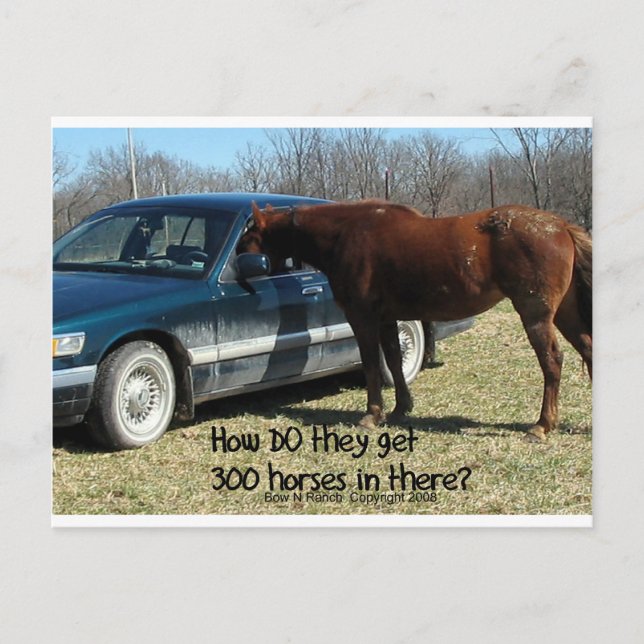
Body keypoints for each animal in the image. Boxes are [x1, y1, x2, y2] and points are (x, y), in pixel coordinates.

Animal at [238, 201, 592, 442]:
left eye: (247, 236)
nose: (239, 267)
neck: (345, 234)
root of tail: (561, 226)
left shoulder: (363, 318)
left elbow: (371, 364)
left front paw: (372, 414)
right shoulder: (387, 318)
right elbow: (394, 360)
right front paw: (400, 408)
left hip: (536, 315)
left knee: (552, 362)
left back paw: (542, 425)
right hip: (565, 314)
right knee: (587, 350)